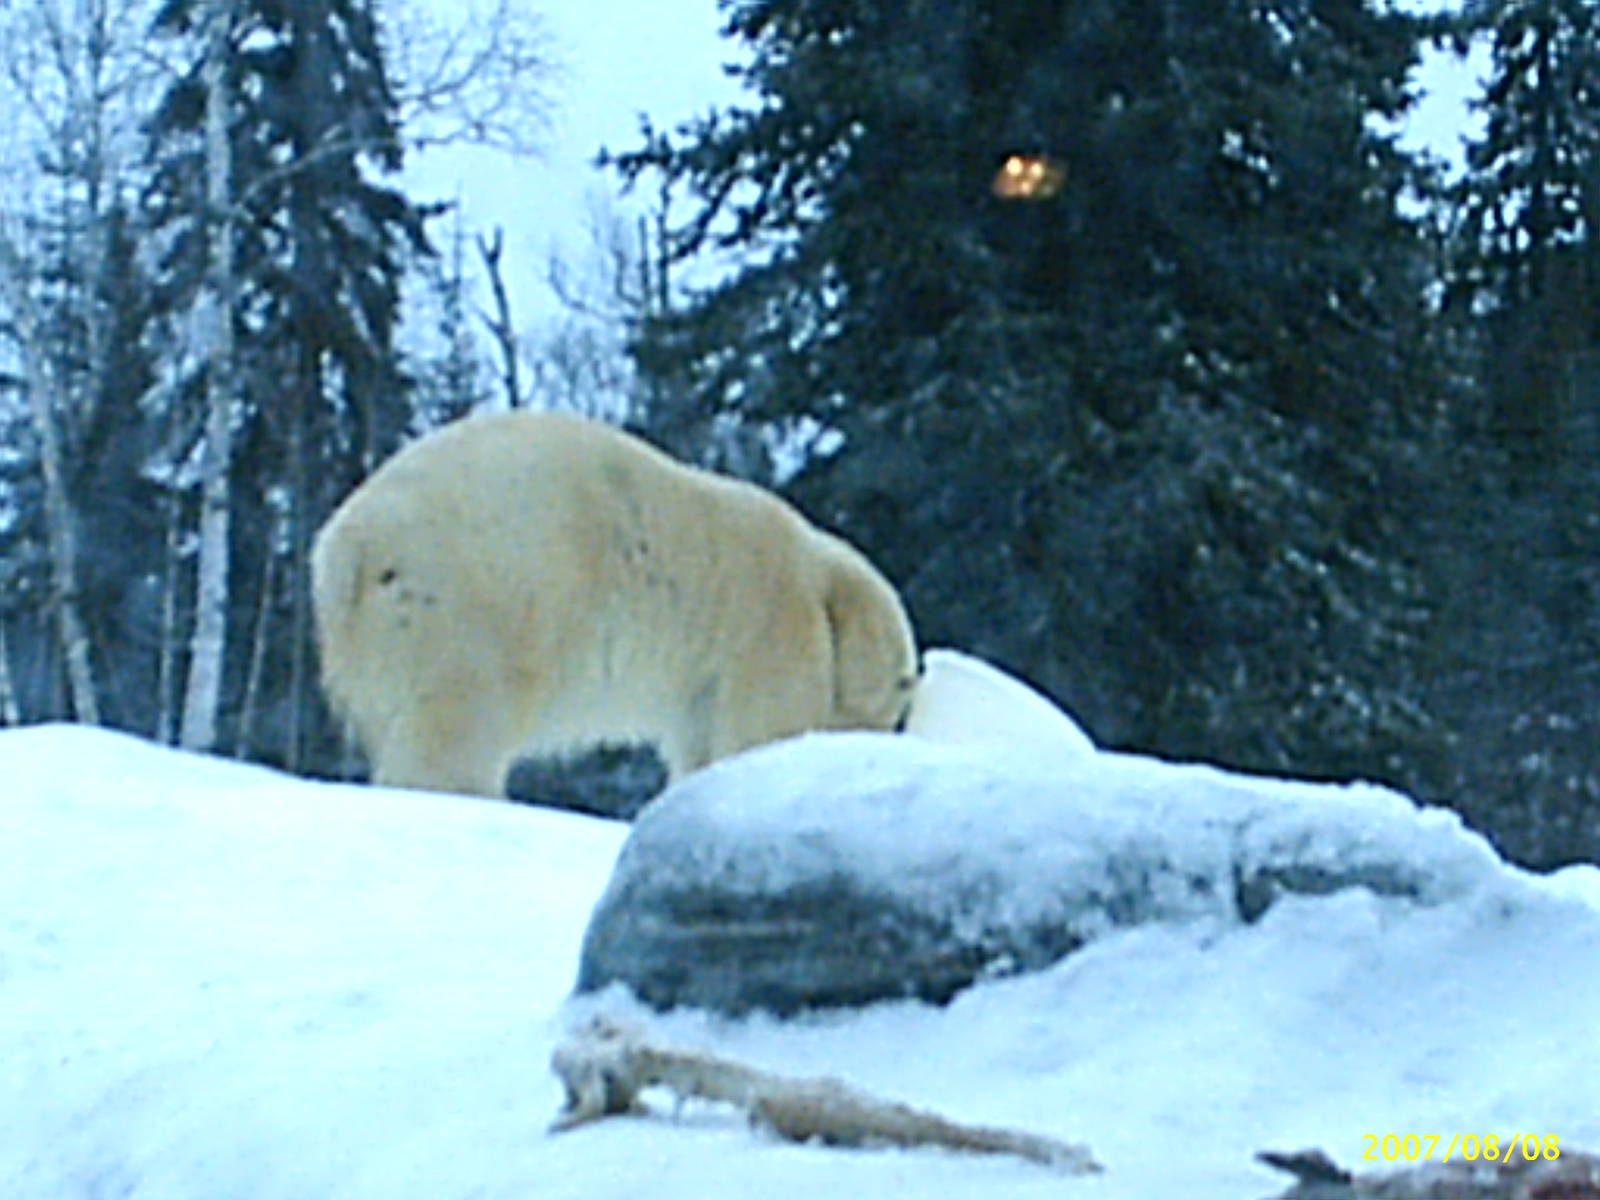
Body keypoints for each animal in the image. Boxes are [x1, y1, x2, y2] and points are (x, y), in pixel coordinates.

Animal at [311, 410, 919, 798]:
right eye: (901, 684)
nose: (882, 736)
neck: (817, 576)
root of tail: (352, 545)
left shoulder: (703, 680)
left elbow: (700, 744)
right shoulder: (768, 624)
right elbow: (761, 731)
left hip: (374, 639)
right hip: (474, 600)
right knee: (459, 722)